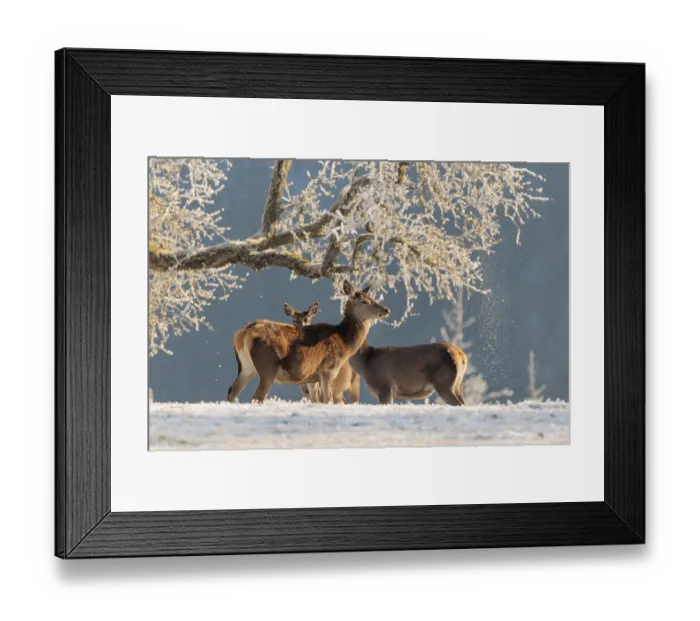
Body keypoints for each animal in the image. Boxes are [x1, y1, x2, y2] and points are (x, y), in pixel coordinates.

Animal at [227, 281, 389, 404]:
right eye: (364, 301)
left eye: (373, 298)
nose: (386, 310)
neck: (345, 343)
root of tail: (244, 333)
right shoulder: (328, 369)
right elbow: (327, 400)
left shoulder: (311, 378)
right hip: (267, 366)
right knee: (258, 396)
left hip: (246, 366)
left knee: (232, 390)